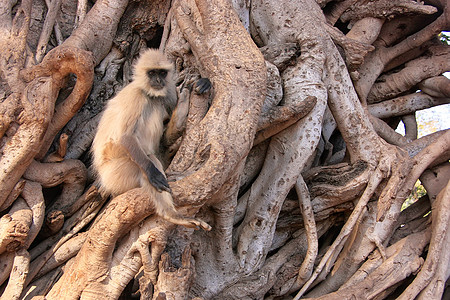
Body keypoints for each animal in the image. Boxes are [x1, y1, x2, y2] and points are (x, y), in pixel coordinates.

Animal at [92, 48, 211, 230]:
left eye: (162, 73)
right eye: (152, 73)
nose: (158, 80)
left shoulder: (167, 92)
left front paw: (197, 86)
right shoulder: (135, 96)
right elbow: (125, 137)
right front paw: (153, 173)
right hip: (116, 173)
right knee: (148, 156)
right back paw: (171, 214)